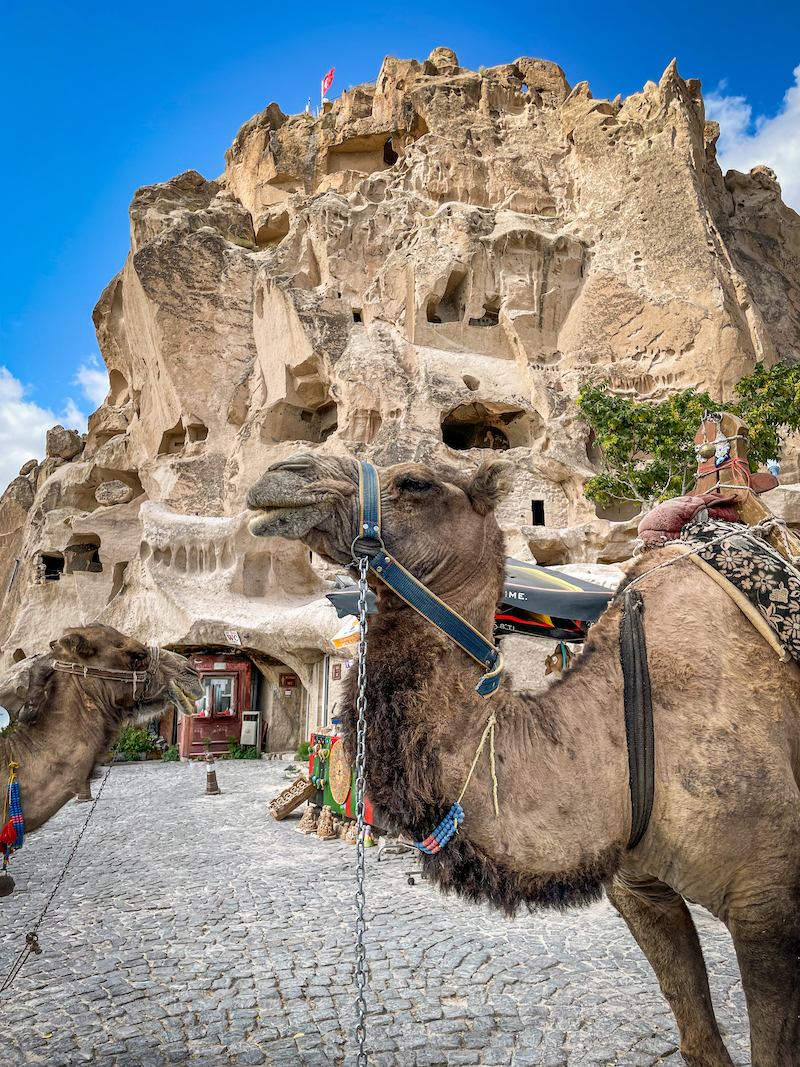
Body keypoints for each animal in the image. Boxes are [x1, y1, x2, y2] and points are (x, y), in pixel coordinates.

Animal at [249, 452, 800, 1067]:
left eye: (415, 482)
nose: (282, 472)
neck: (626, 719)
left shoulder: (766, 905)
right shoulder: (640, 890)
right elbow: (698, 1038)